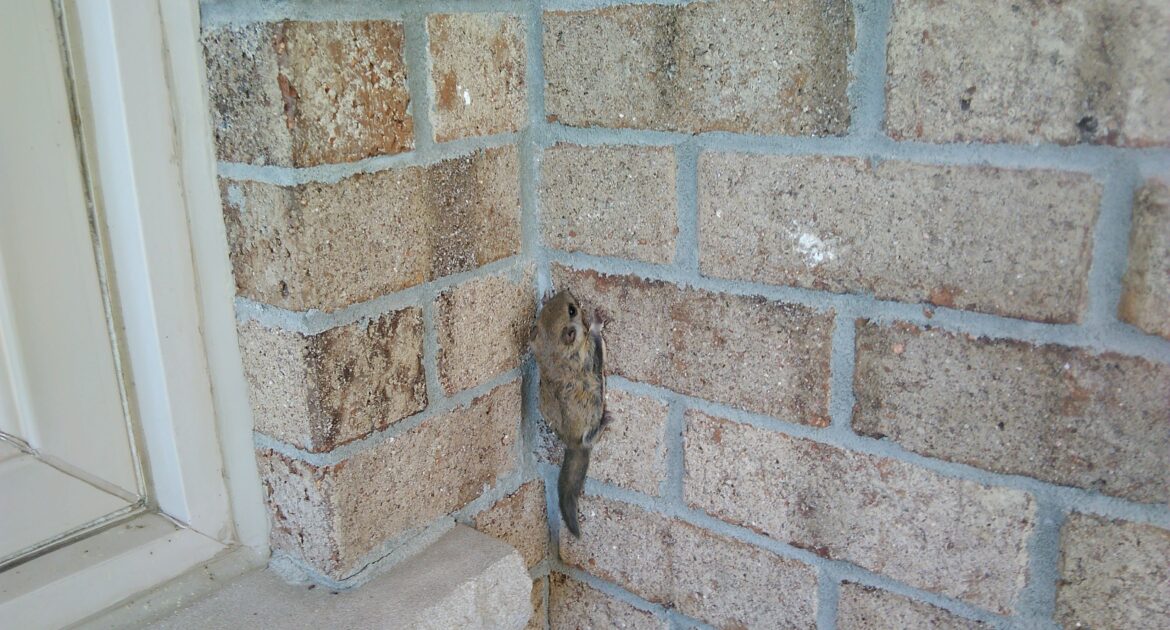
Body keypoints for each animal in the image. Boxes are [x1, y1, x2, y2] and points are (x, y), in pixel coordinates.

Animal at [531, 289, 611, 538]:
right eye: (572, 310)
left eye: (548, 308)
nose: (566, 292)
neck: (555, 353)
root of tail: (572, 444)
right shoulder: (589, 352)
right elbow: (595, 338)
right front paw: (597, 320)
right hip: (593, 412)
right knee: (590, 437)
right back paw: (604, 422)